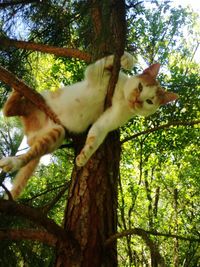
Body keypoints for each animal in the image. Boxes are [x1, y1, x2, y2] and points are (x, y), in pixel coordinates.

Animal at [0, 52, 178, 199]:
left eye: (149, 101)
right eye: (140, 87)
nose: (136, 101)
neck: (121, 97)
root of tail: (30, 135)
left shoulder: (108, 121)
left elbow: (95, 137)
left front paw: (83, 157)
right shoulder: (95, 74)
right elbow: (107, 61)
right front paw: (127, 60)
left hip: (57, 133)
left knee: (21, 137)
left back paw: (11, 162)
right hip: (40, 99)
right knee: (8, 110)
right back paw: (18, 83)